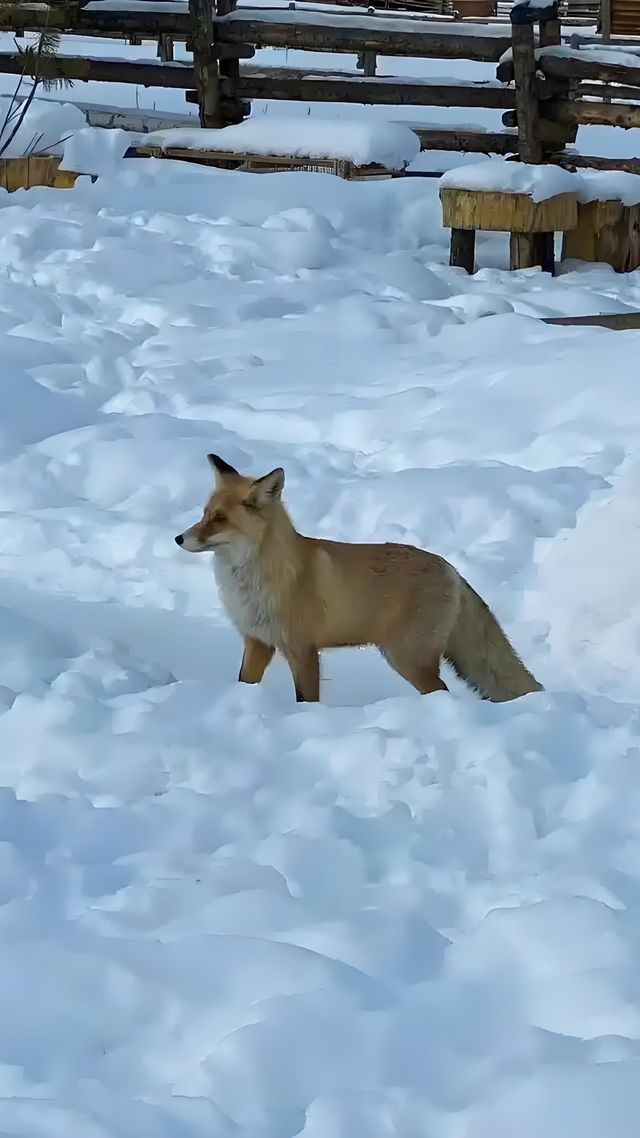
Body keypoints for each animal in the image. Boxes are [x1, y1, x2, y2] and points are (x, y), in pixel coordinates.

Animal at [175, 452, 542, 701]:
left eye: (220, 519)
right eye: (205, 514)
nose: (179, 538)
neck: (252, 583)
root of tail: (449, 567)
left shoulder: (302, 649)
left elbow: (306, 699)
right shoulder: (257, 642)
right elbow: (243, 683)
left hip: (406, 658)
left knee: (441, 691)